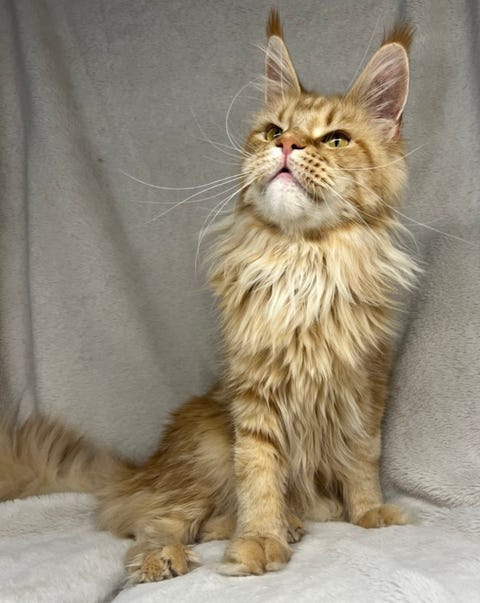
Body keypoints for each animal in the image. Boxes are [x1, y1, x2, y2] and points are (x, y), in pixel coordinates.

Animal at [0, 10, 417, 583]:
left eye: (335, 140)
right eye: (274, 130)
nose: (288, 147)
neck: (303, 260)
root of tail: (142, 468)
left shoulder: (365, 383)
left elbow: (361, 458)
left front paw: (369, 512)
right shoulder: (255, 399)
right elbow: (259, 478)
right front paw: (260, 540)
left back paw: (286, 522)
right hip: (208, 447)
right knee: (155, 521)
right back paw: (172, 555)